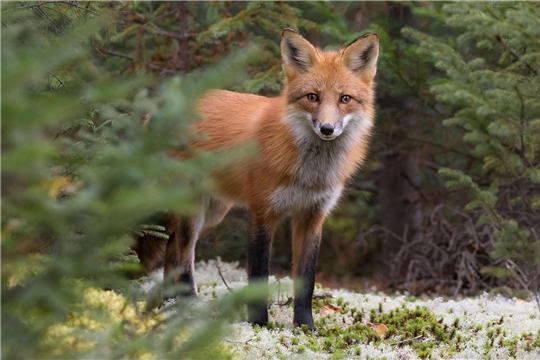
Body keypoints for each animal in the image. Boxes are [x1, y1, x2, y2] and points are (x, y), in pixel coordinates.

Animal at [137, 29, 378, 330]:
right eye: (312, 97)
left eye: (345, 99)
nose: (327, 128)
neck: (310, 175)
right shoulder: (262, 212)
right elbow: (259, 273)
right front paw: (258, 324)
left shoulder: (312, 216)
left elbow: (307, 280)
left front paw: (305, 327)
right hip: (189, 211)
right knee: (181, 256)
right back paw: (187, 307)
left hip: (212, 214)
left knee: (173, 255)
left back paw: (176, 305)